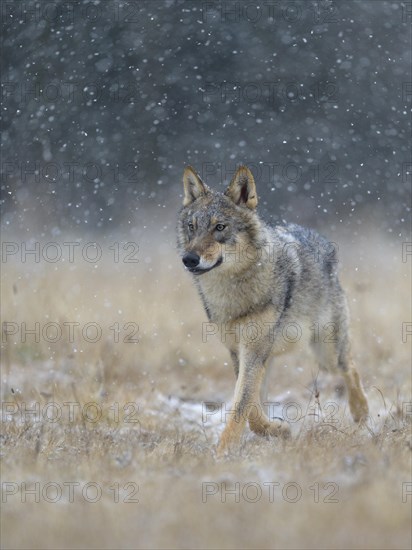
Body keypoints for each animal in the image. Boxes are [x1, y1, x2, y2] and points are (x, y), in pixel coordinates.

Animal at [177, 165, 370, 458]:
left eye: (220, 227)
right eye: (192, 227)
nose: (189, 259)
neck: (234, 293)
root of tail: (321, 240)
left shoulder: (254, 350)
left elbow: (243, 405)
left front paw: (224, 451)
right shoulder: (239, 351)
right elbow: (251, 408)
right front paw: (277, 430)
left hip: (327, 354)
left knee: (352, 367)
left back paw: (361, 412)